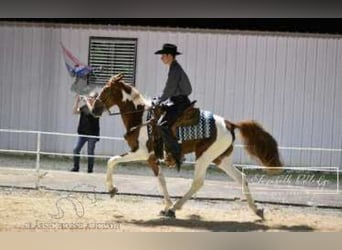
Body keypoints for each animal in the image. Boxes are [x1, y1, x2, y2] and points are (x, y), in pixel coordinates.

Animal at [89, 73, 282, 220]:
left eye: (106, 90)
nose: (94, 110)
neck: (141, 118)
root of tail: (229, 124)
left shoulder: (142, 152)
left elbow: (112, 160)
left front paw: (112, 189)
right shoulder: (152, 157)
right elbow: (161, 180)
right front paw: (166, 205)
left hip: (204, 156)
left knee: (197, 183)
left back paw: (176, 208)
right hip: (220, 158)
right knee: (241, 178)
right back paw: (257, 210)